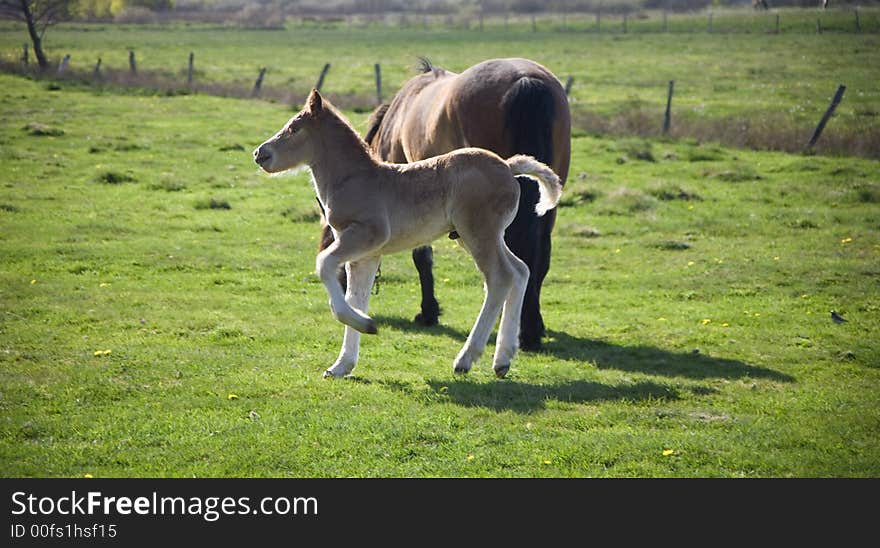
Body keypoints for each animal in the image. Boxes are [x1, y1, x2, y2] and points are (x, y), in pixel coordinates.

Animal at [253, 91, 564, 382]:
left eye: (294, 128)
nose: (260, 153)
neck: (355, 179)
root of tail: (508, 167)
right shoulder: (365, 256)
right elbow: (356, 297)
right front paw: (342, 365)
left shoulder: (366, 236)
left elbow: (324, 265)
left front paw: (368, 325)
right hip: (479, 236)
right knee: (520, 270)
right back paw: (502, 359)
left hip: (479, 233)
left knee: (500, 278)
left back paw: (466, 359)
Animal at [324, 57, 572, 352]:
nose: (342, 286)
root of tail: (525, 80)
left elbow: (422, 257)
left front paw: (428, 312)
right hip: (546, 202)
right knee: (539, 257)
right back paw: (531, 328)